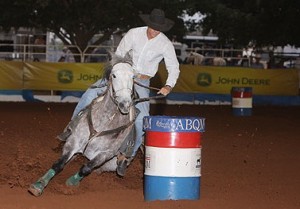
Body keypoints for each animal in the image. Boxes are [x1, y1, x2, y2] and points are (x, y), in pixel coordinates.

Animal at [27, 52, 138, 196]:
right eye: (114, 75)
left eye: (133, 77)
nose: (125, 104)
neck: (105, 122)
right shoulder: (74, 142)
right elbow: (59, 164)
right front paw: (39, 185)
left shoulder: (105, 154)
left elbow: (86, 168)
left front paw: (71, 183)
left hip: (111, 164)